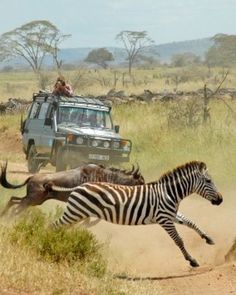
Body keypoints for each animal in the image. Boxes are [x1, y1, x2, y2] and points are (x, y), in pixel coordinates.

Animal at [52, 162, 223, 268]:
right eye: (208, 181)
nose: (221, 200)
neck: (169, 193)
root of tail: (79, 186)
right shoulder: (164, 219)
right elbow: (179, 240)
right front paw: (192, 260)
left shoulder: (172, 215)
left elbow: (191, 222)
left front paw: (208, 238)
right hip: (74, 213)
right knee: (53, 225)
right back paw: (48, 240)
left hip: (77, 214)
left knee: (59, 227)